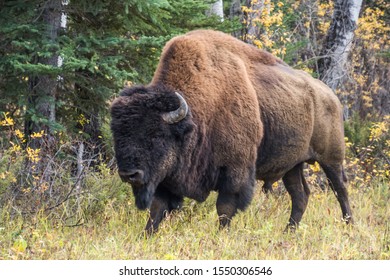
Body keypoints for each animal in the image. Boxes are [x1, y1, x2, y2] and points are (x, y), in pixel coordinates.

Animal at [110, 29, 354, 234]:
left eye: (156, 135)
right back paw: (289, 232)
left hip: (331, 158)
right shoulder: (165, 179)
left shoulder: (235, 172)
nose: (129, 174)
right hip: (293, 165)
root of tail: (331, 96)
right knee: (300, 196)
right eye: (118, 135)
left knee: (340, 189)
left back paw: (349, 227)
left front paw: (221, 236)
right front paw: (146, 236)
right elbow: (157, 210)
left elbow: (224, 208)